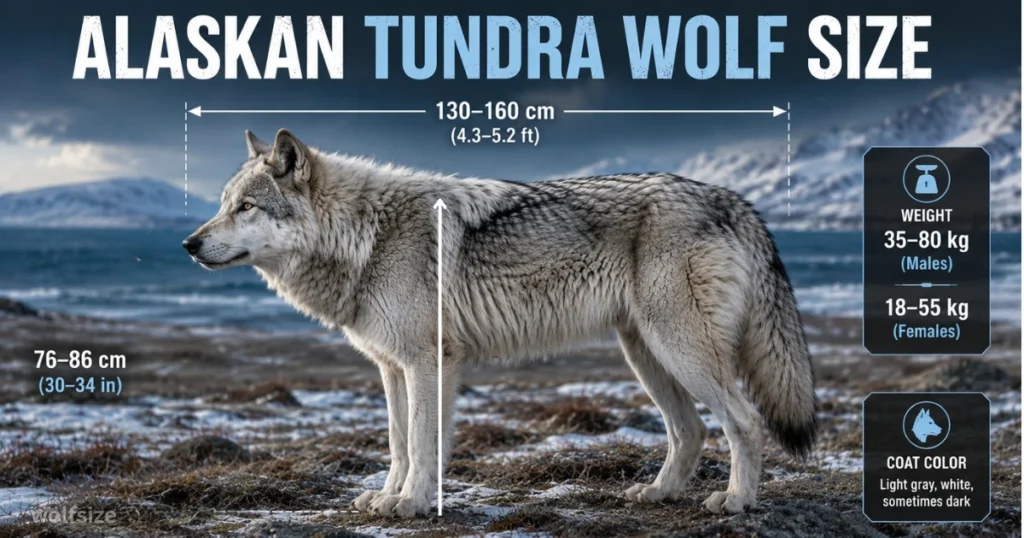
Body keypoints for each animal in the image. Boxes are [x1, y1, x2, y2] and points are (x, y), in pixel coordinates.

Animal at [183, 129, 818, 518]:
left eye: (246, 207)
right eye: (222, 203)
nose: (189, 244)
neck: (365, 235)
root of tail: (730, 197)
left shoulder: (427, 363)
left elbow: (422, 443)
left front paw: (411, 504)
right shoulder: (393, 367)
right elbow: (400, 443)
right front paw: (388, 498)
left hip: (680, 351)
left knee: (742, 422)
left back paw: (736, 502)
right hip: (646, 356)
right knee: (689, 431)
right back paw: (657, 493)